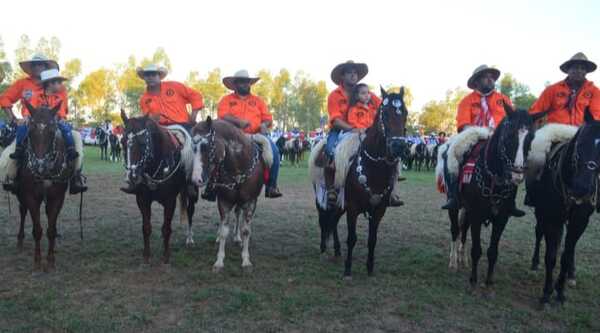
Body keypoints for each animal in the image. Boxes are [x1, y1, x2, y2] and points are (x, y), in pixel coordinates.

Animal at [120, 110, 197, 264]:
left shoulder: (170, 201)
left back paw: (189, 238)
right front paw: (146, 255)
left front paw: (166, 255)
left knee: (190, 212)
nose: (132, 176)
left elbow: (166, 228)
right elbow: (146, 227)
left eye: (143, 143)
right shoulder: (142, 200)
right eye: (122, 142)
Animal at [191, 118, 268, 272]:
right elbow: (224, 231)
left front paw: (246, 260)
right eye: (192, 147)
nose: (196, 179)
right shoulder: (224, 201)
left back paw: (238, 238)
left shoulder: (250, 202)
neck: (239, 167)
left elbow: (246, 230)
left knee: (238, 215)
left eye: (206, 146)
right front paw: (219, 261)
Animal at [314, 86, 408, 278]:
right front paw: (348, 269)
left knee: (333, 221)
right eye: (385, 113)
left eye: (405, 113)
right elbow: (352, 238)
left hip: (340, 204)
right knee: (324, 219)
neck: (374, 166)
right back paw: (323, 249)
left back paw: (336, 250)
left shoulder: (379, 210)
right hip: (323, 199)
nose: (399, 147)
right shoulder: (353, 208)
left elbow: (372, 240)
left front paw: (370, 268)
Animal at [446, 105, 540, 290]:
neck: (493, 179)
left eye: (531, 138)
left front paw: (489, 280)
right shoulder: (476, 215)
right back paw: (453, 261)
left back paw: (462, 258)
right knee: (455, 230)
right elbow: (477, 250)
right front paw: (473, 279)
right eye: (509, 135)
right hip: (454, 207)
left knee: (463, 230)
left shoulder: (501, 219)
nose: (517, 174)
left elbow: (492, 251)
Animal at [528, 107, 600, 304]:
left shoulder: (579, 221)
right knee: (539, 233)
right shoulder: (551, 218)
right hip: (541, 214)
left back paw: (571, 275)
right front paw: (547, 291)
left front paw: (560, 291)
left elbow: (566, 256)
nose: (581, 188)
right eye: (580, 143)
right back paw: (534, 264)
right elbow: (551, 256)